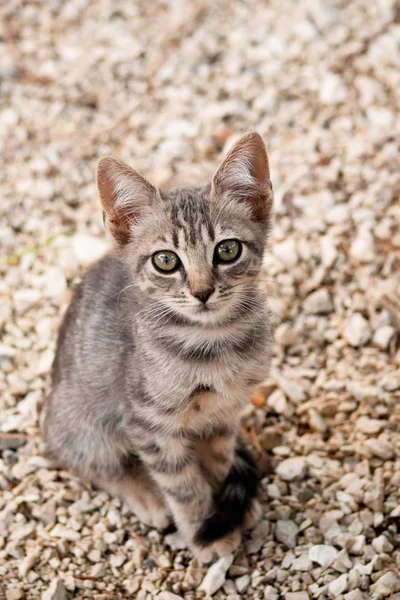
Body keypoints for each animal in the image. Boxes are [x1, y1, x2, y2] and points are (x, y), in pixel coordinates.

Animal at [43, 132, 276, 564]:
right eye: (165, 260)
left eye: (228, 250)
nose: (202, 291)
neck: (213, 343)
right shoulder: (148, 422)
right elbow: (182, 484)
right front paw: (204, 531)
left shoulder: (224, 413)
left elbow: (218, 461)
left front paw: (226, 503)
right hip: (83, 422)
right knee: (88, 460)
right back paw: (145, 494)